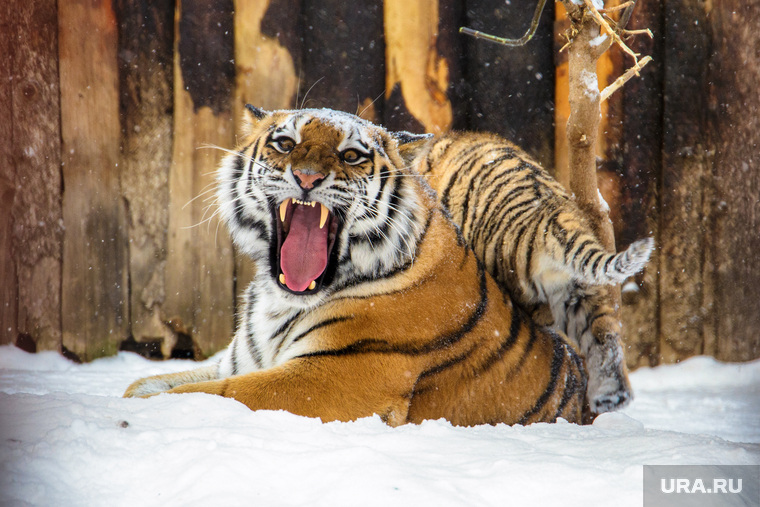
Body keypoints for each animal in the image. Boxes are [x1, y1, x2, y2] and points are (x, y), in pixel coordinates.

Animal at [126, 107, 588, 428]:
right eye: (285, 144)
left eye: (350, 155)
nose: (306, 177)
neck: (279, 301)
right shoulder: (240, 363)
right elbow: (149, 382)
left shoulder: (331, 375)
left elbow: (212, 394)